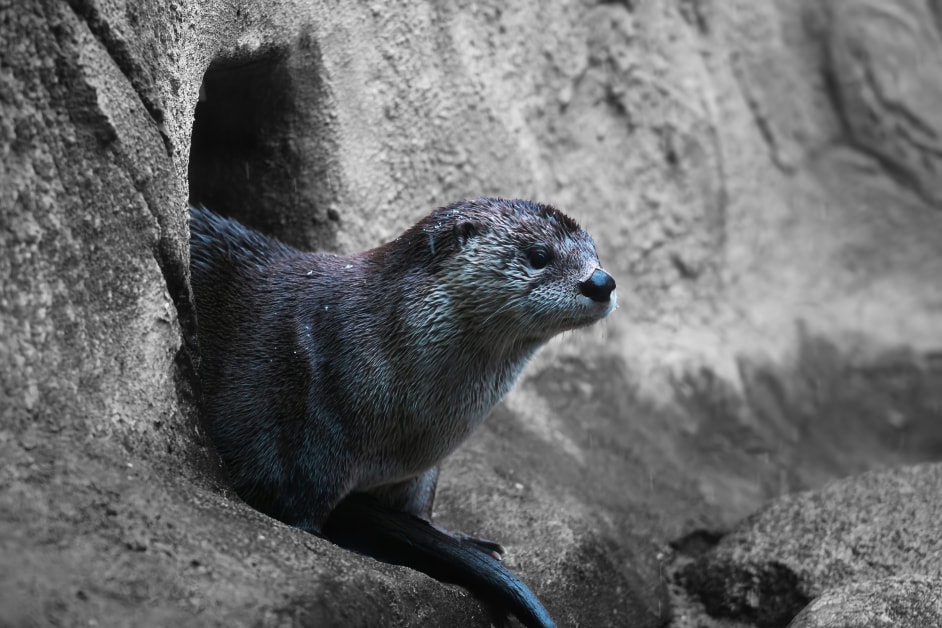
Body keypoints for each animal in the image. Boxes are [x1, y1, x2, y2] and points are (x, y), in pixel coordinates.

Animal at [189, 197, 616, 628]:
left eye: (595, 253)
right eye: (539, 256)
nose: (601, 281)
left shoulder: (416, 470)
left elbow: (417, 506)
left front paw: (455, 537)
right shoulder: (306, 422)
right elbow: (298, 510)